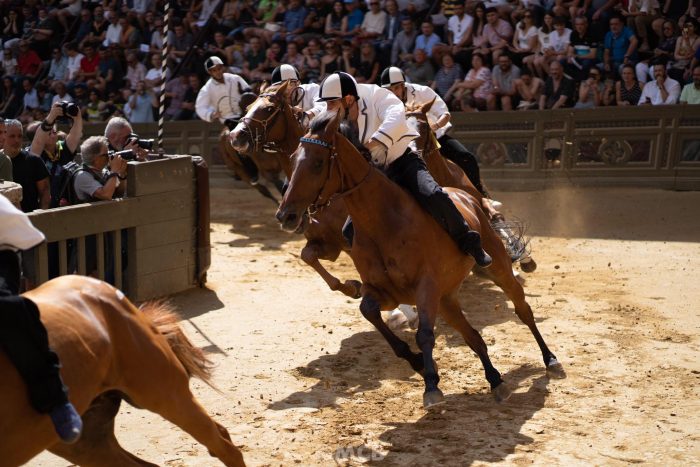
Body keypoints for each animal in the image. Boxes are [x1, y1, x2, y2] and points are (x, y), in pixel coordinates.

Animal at [276, 109, 568, 410]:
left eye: (318, 163)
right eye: (292, 159)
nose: (286, 215)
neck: (383, 222)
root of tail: (464, 196)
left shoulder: (425, 287)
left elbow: (425, 334)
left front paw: (431, 385)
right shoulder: (385, 293)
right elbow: (370, 312)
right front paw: (419, 364)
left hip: (497, 267)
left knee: (522, 309)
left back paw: (551, 360)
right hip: (447, 298)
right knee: (473, 336)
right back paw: (496, 381)